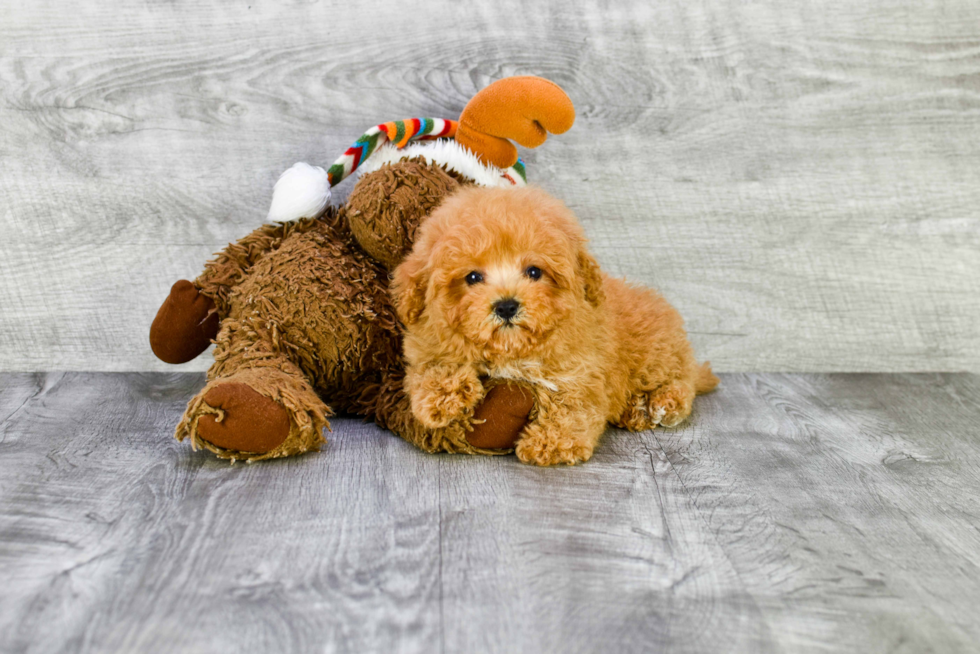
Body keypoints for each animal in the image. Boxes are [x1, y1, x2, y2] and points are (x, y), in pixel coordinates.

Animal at [392, 184, 720, 466]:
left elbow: (571, 409)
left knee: (683, 382)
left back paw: (660, 404)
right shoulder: (428, 341)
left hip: (656, 356)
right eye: (472, 277)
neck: (511, 349)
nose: (507, 306)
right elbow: (432, 366)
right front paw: (440, 399)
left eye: (534, 271)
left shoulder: (579, 373)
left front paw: (551, 444)